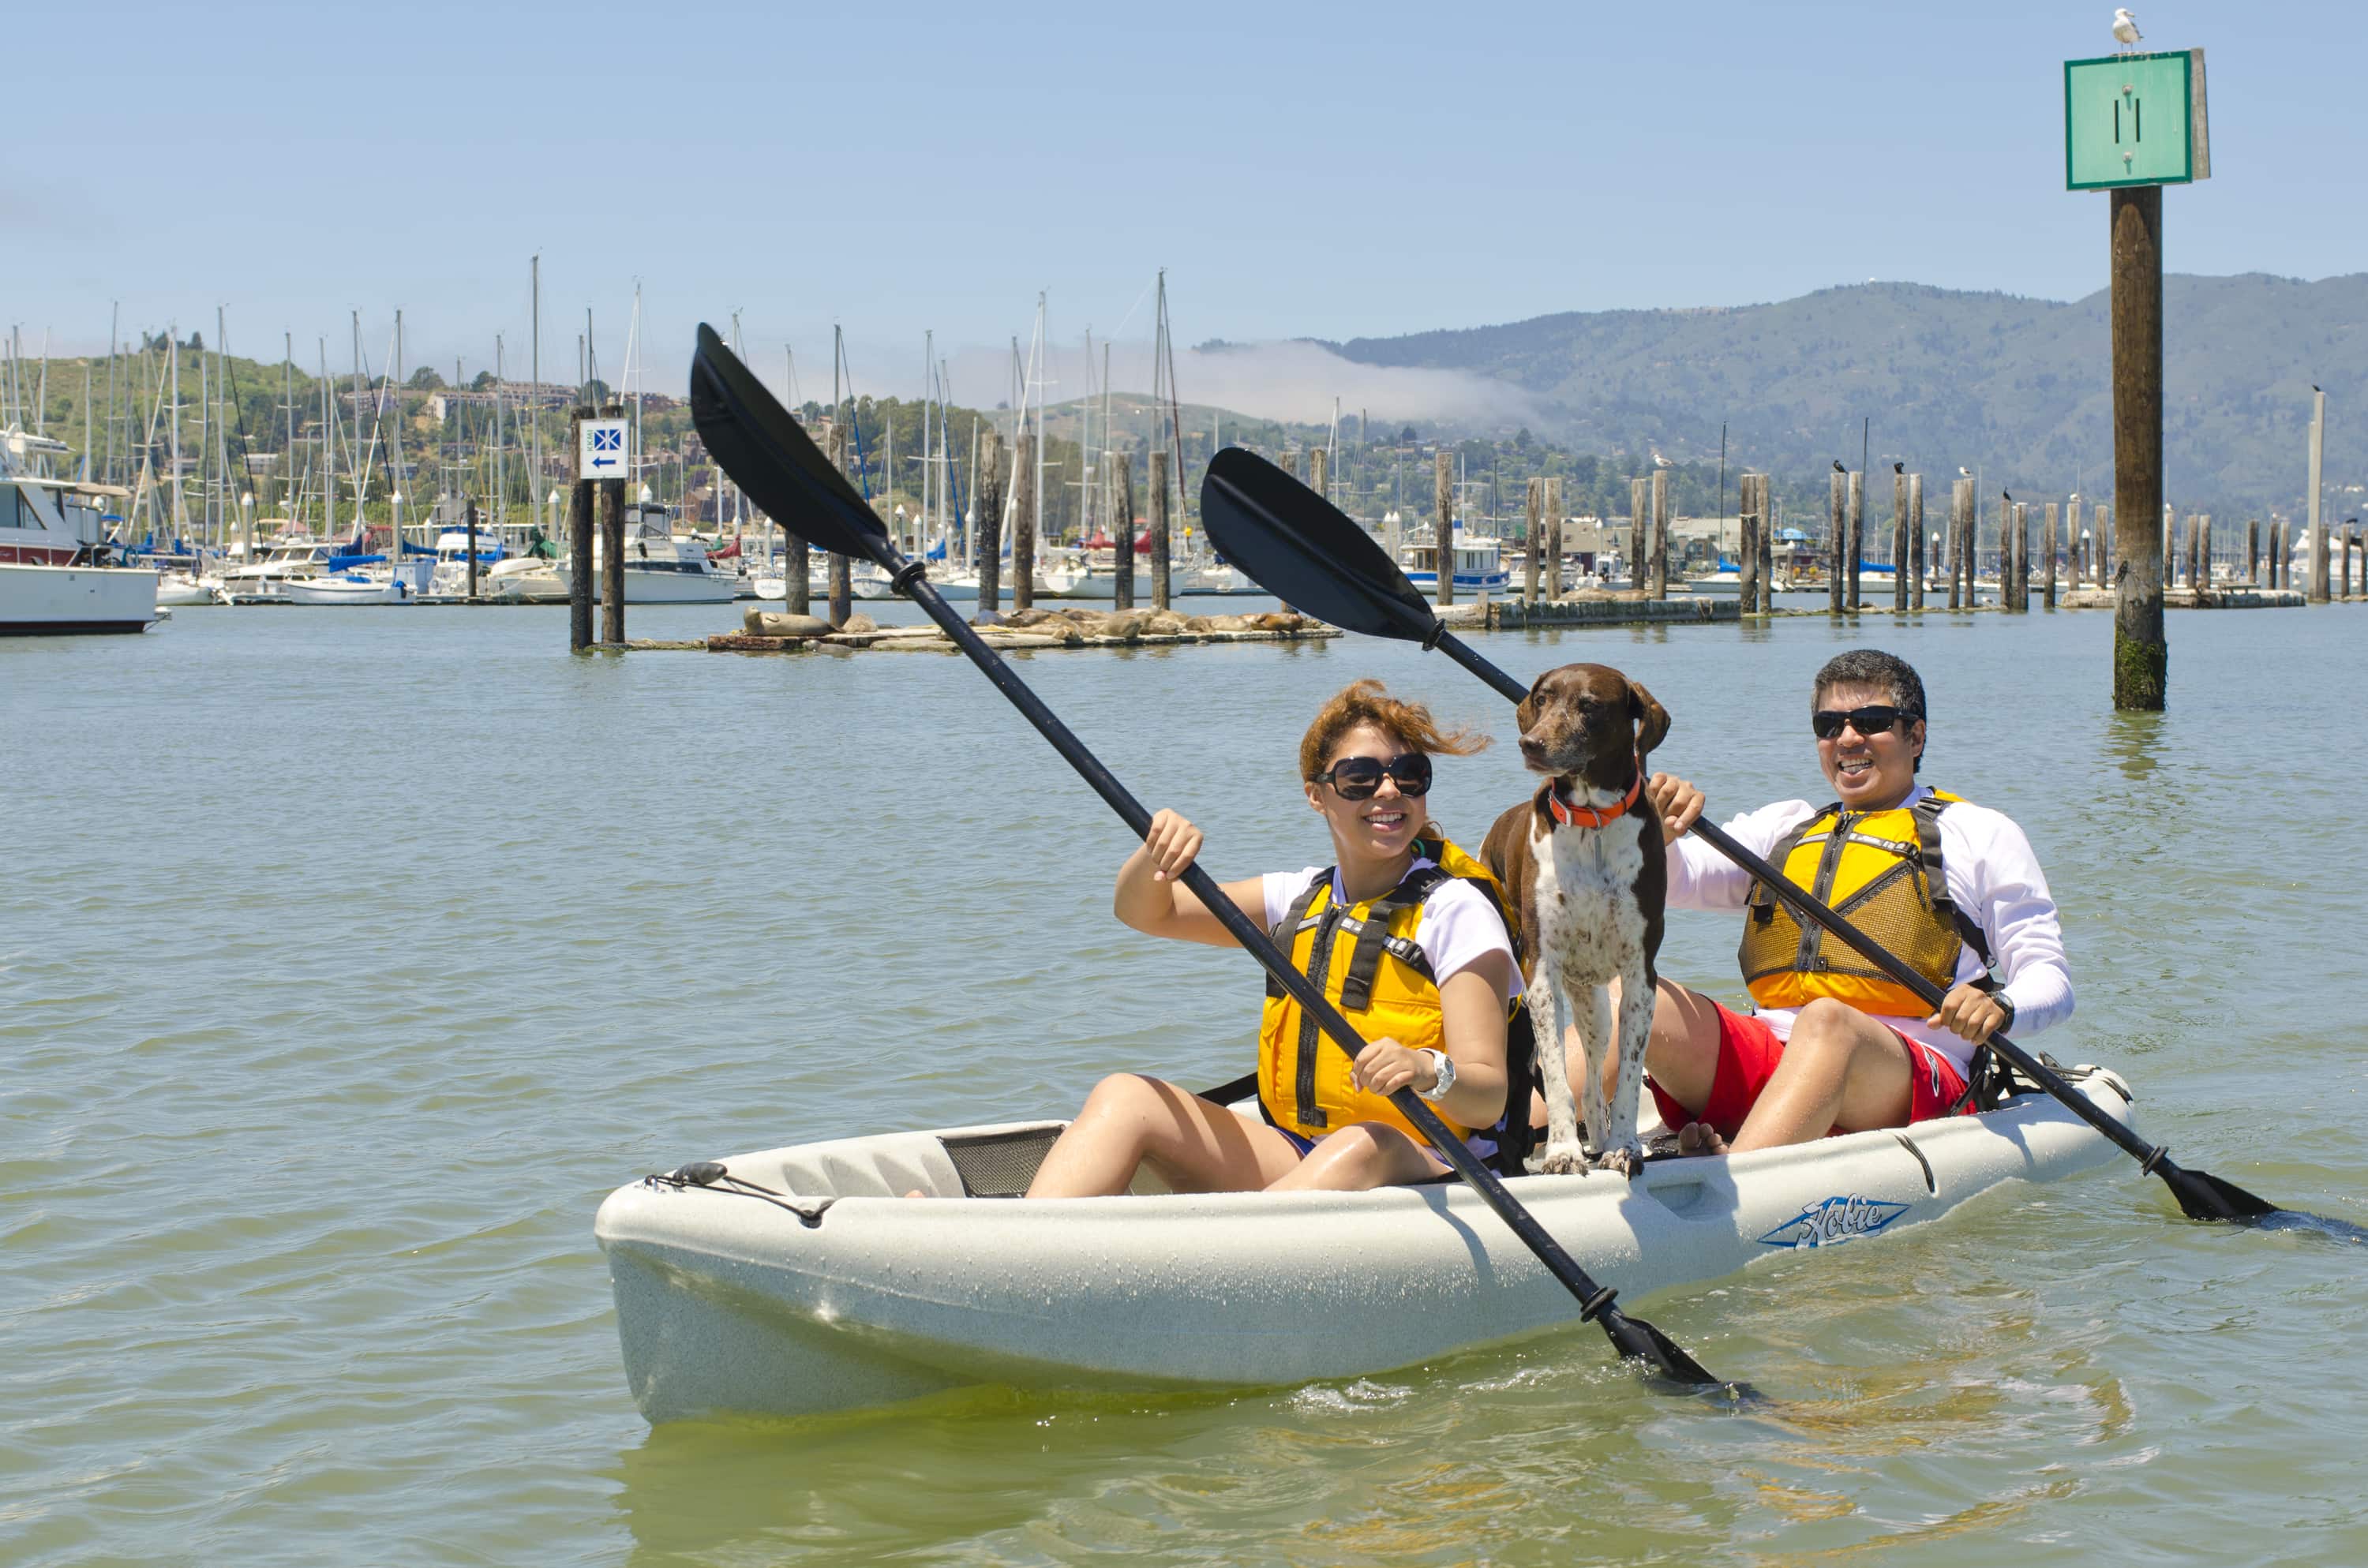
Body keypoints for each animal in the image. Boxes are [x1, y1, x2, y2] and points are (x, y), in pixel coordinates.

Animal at [1487, 663, 1677, 1179]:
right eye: (1542, 698)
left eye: (1589, 705)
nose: (1530, 743)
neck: (1592, 820)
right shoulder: (1541, 974)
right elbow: (1555, 1074)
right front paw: (1563, 1152)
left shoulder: (1639, 975)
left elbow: (1628, 1075)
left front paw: (1625, 1146)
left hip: (1597, 1008)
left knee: (1594, 1082)